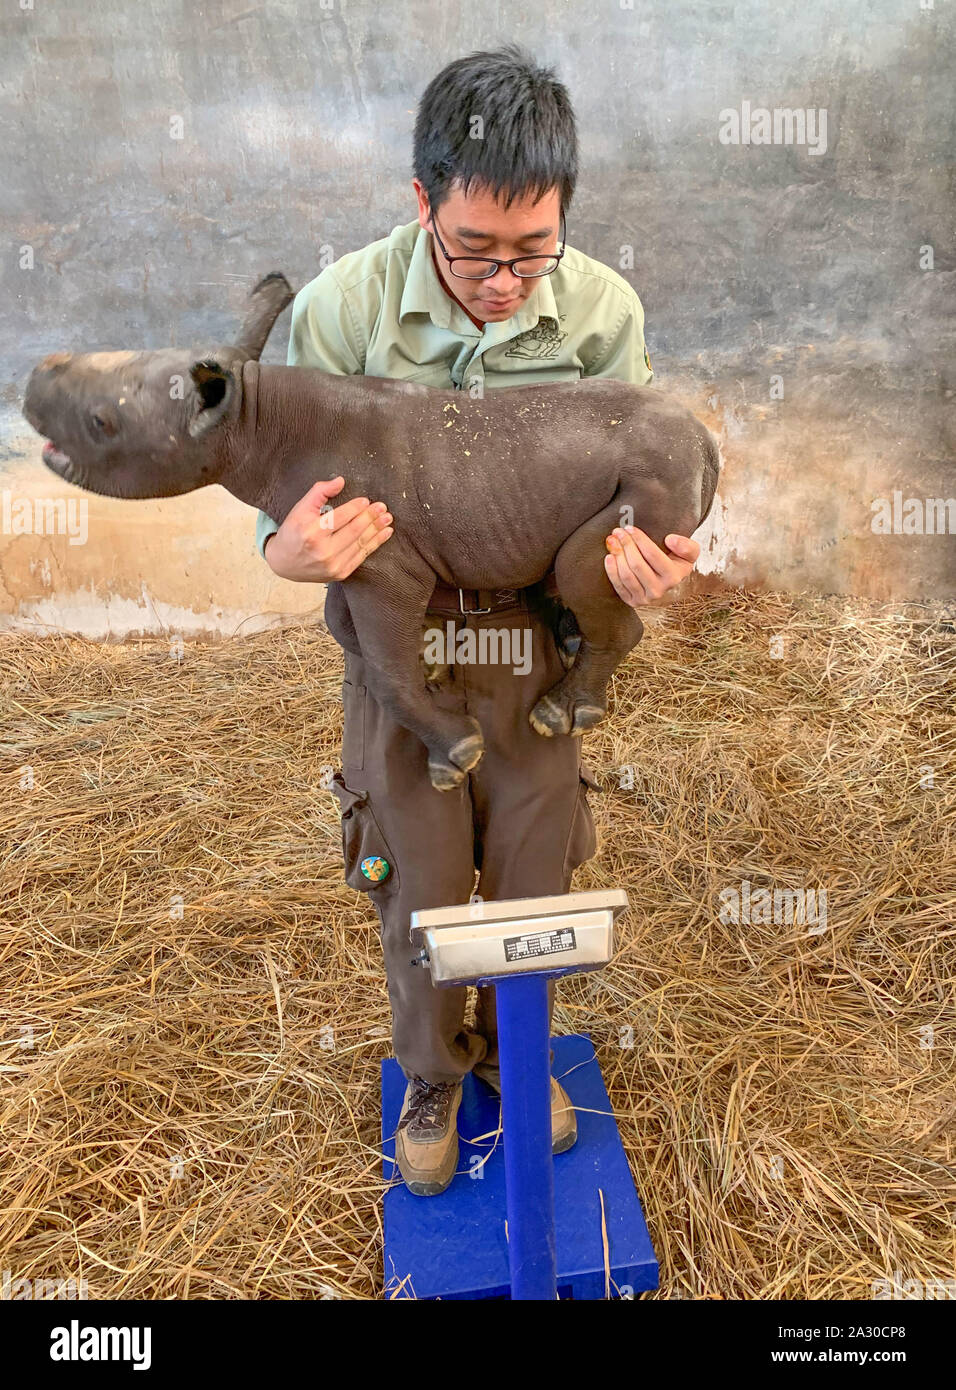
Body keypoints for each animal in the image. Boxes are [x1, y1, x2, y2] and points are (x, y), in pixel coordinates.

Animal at [22, 273, 717, 795]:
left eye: (101, 422)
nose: (34, 376)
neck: (251, 422)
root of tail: (706, 439)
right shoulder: (345, 548)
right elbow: (349, 628)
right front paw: (434, 688)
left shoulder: (385, 563)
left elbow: (384, 669)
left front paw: (458, 752)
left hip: (656, 474)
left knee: (582, 564)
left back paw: (557, 713)